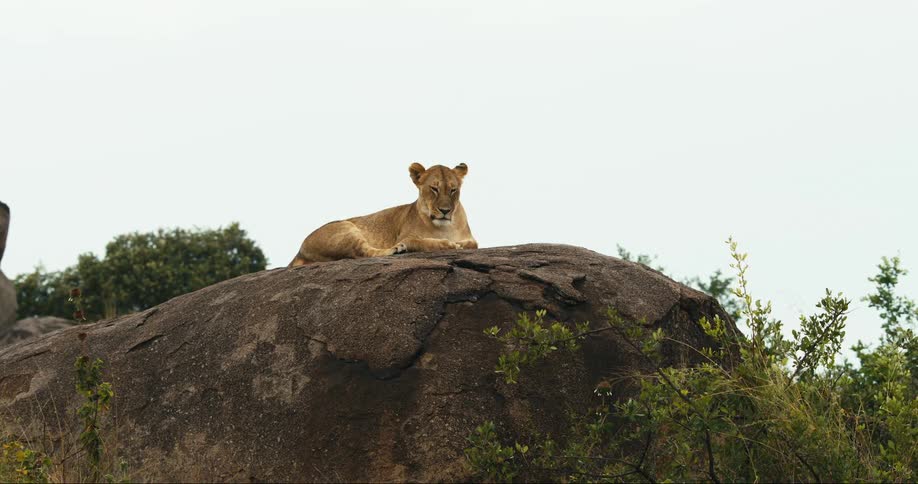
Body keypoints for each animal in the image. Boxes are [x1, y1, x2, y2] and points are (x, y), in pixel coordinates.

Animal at [288, 163, 478, 267]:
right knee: (363, 253)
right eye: (434, 188)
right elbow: (421, 242)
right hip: (346, 228)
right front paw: (449, 245)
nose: (445, 211)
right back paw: (396, 250)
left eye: (453, 190)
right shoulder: (405, 236)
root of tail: (299, 251)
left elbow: (472, 244)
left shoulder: (471, 238)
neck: (444, 227)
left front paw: (458, 244)